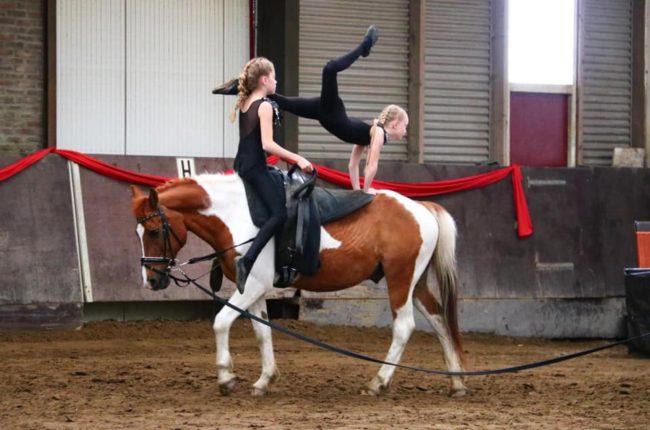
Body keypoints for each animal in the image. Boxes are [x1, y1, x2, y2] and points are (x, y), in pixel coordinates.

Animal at [130, 173, 468, 397]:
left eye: (154, 231)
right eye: (138, 233)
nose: (152, 280)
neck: (237, 216)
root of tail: (422, 209)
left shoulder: (253, 285)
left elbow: (221, 322)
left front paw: (226, 377)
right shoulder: (254, 289)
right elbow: (262, 332)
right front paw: (265, 380)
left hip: (400, 279)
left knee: (404, 327)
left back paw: (378, 382)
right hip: (415, 283)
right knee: (439, 321)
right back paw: (456, 382)